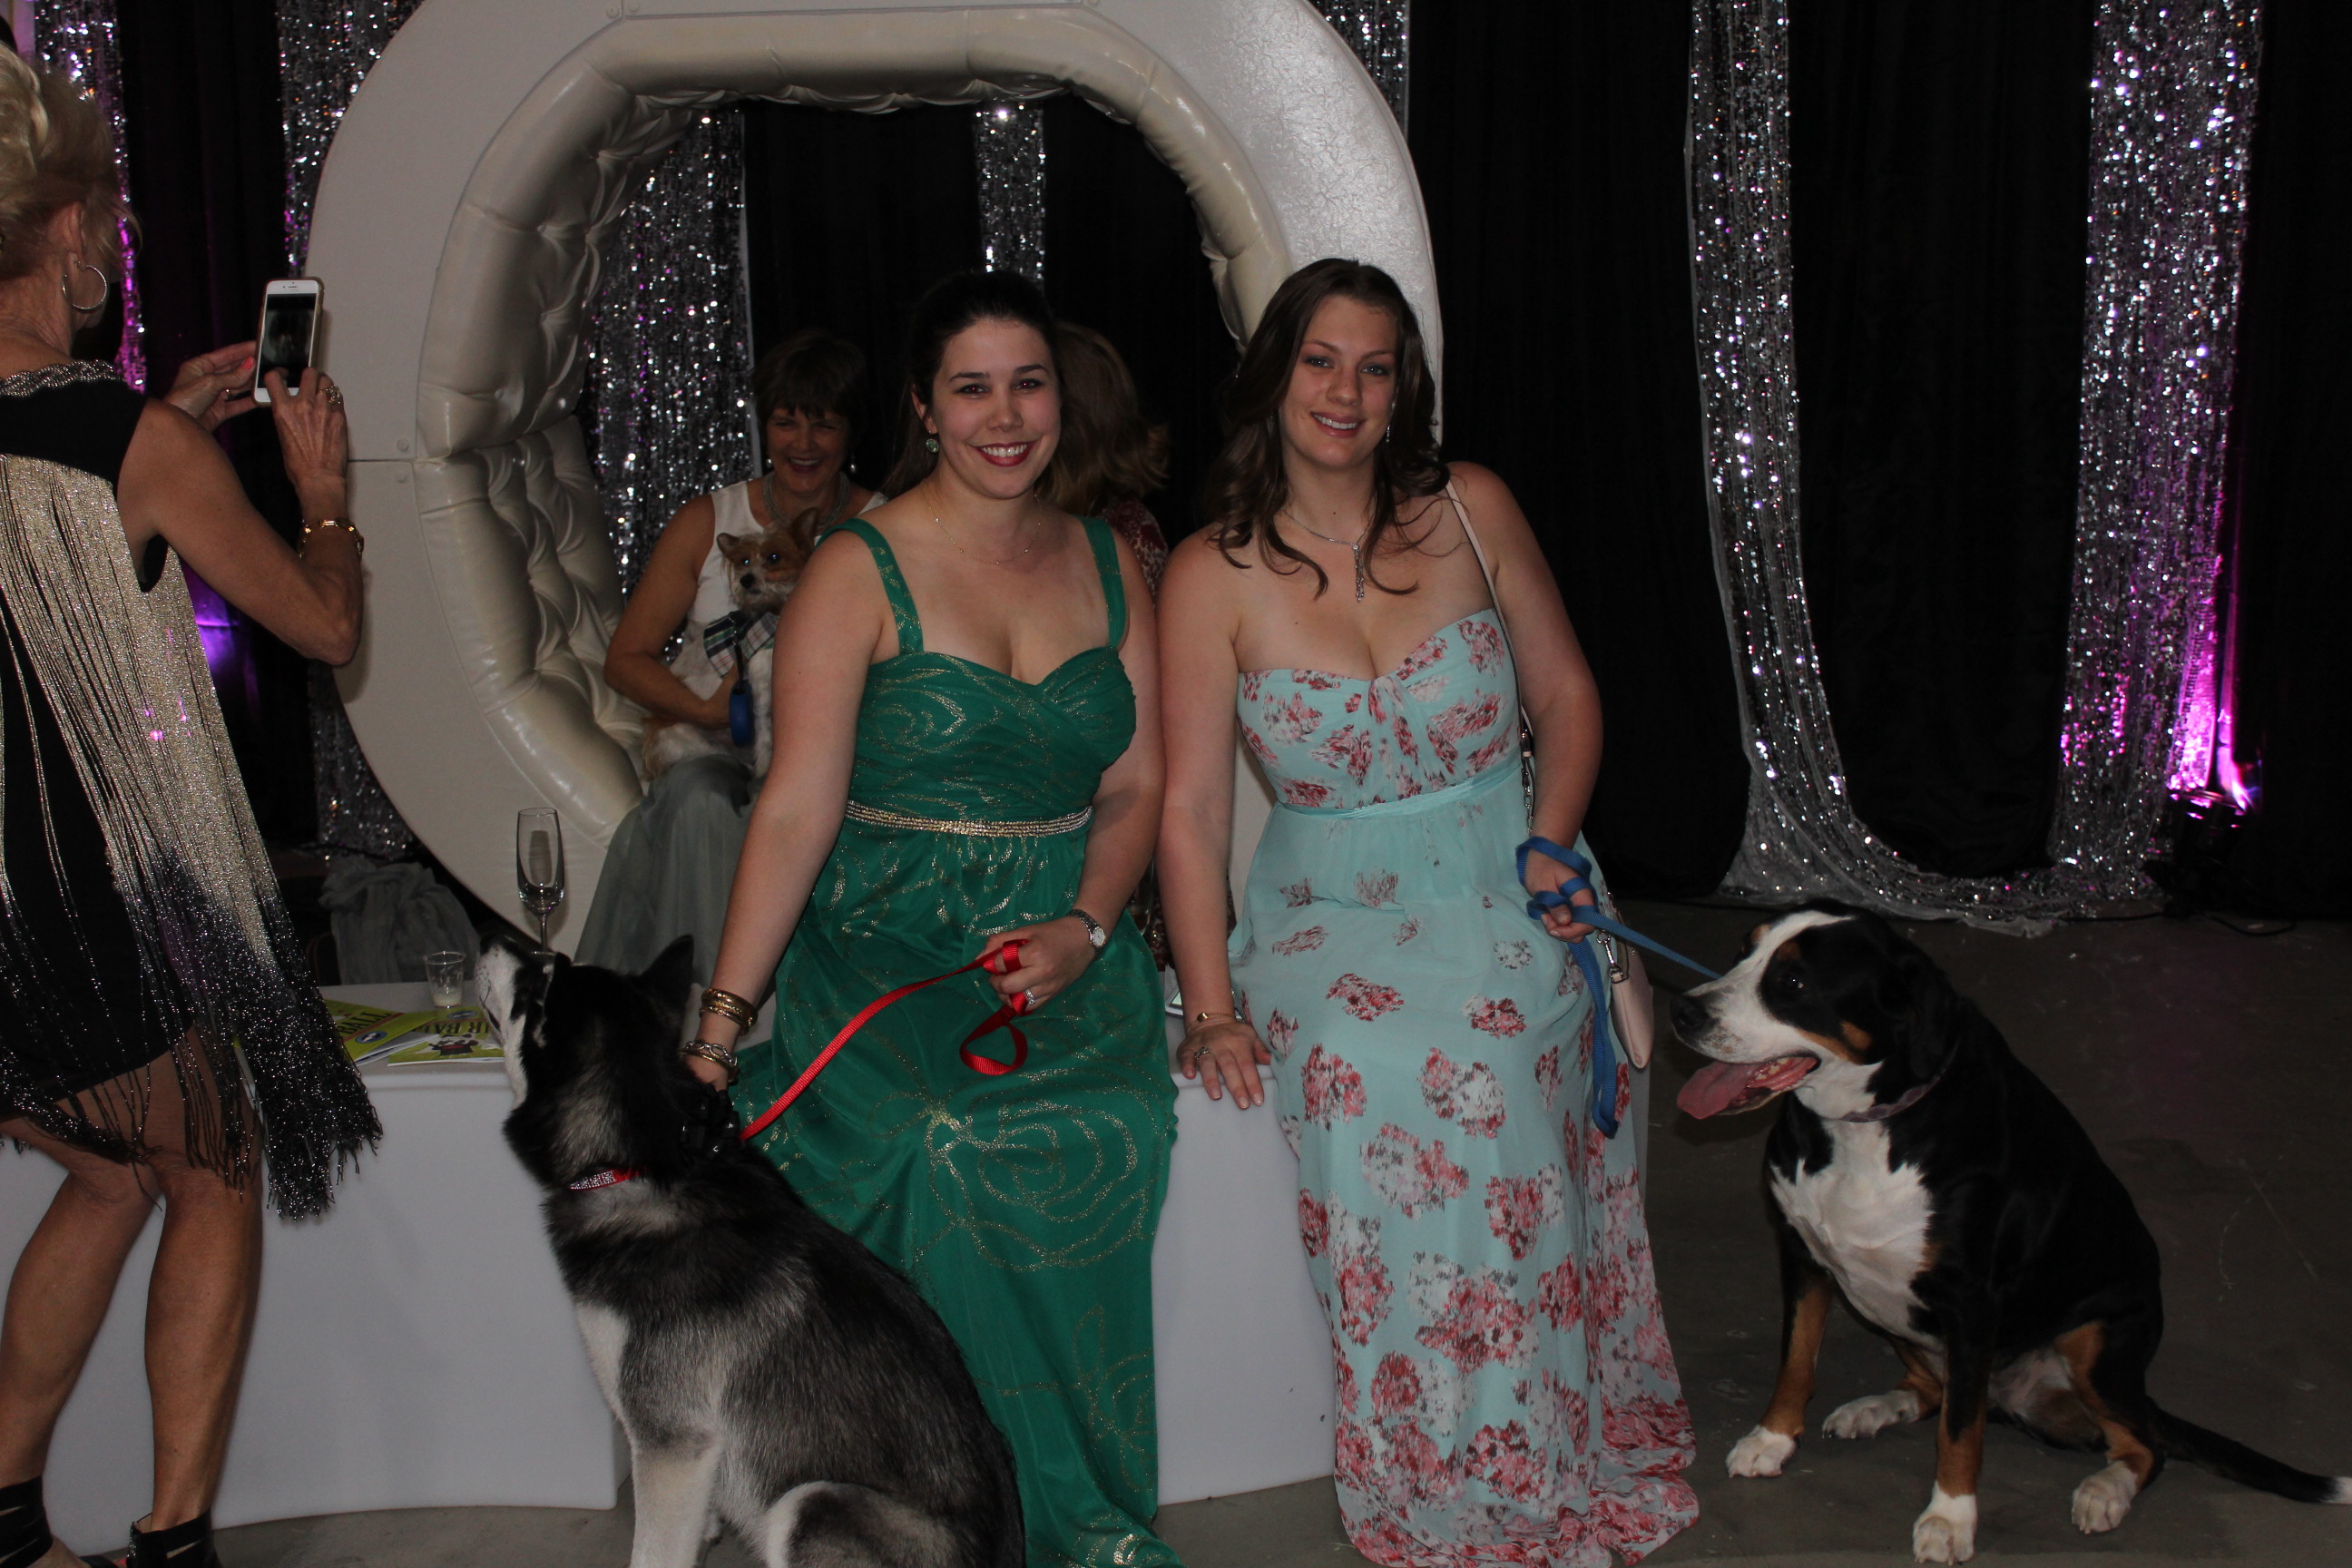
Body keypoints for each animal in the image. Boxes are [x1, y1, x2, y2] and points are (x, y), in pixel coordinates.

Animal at [482, 931, 1023, 1568]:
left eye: (535, 983)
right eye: (549, 965)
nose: (492, 935)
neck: (644, 1168)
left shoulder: (671, 1442)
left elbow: (652, 1552)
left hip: (810, 1502)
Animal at [1670, 905, 2346, 1564]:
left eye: (1792, 983)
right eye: (1743, 953)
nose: (1683, 1010)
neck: (1865, 1128)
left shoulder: (1971, 1299)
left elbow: (1960, 1431)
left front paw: (1950, 1520)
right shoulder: (1802, 1255)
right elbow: (1796, 1361)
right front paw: (1772, 1439)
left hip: (2092, 1342)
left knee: (2143, 1443)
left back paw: (2104, 1491)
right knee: (1935, 1391)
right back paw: (1875, 1408)